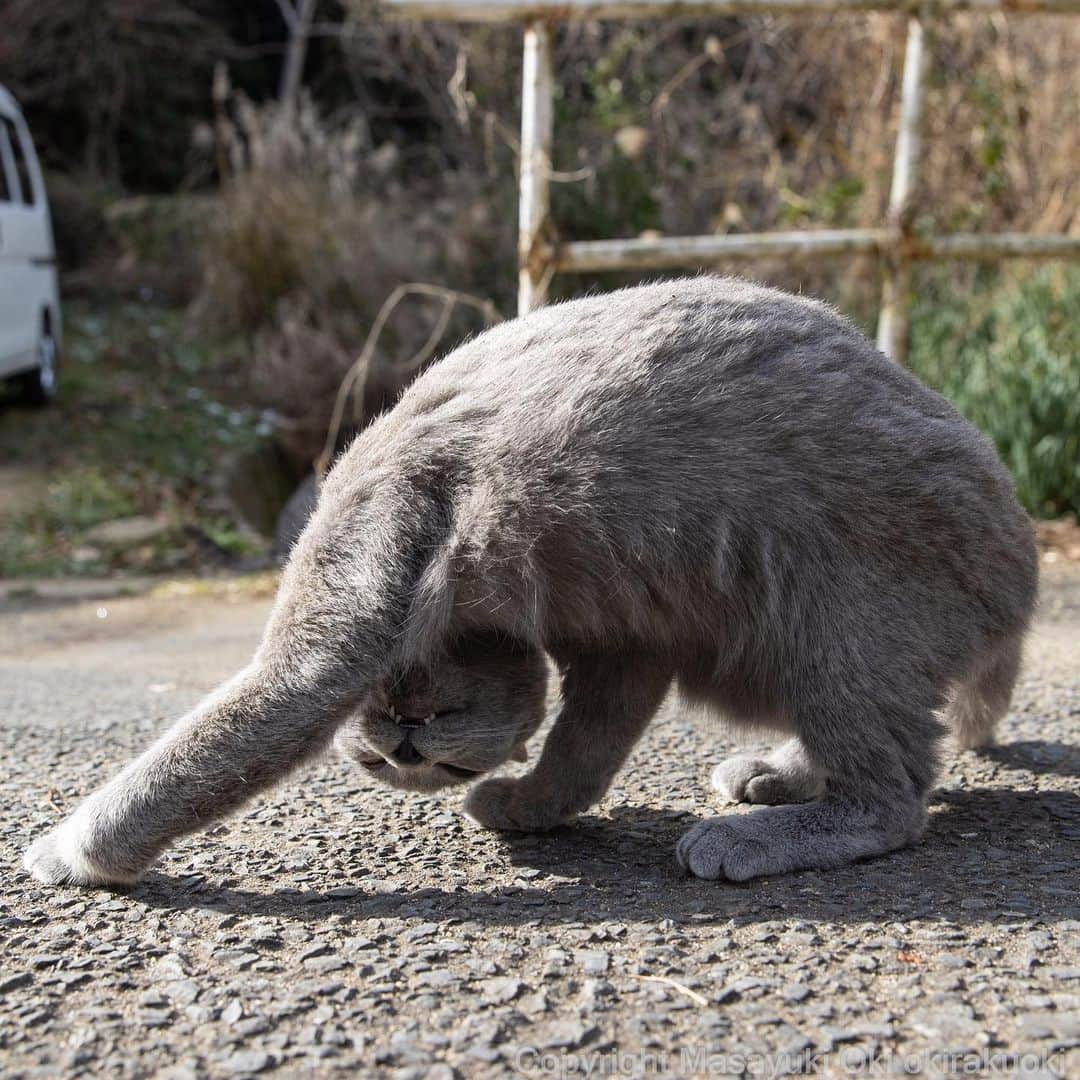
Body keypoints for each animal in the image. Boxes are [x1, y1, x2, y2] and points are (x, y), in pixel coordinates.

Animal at [21, 276, 1036, 885]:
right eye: (390, 754)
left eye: (425, 741)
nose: (406, 748)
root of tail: (1021, 562)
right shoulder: (628, 637)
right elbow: (584, 744)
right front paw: (531, 804)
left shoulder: (364, 557)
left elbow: (215, 740)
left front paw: (72, 848)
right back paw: (777, 773)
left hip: (831, 613)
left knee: (896, 793)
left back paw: (768, 832)